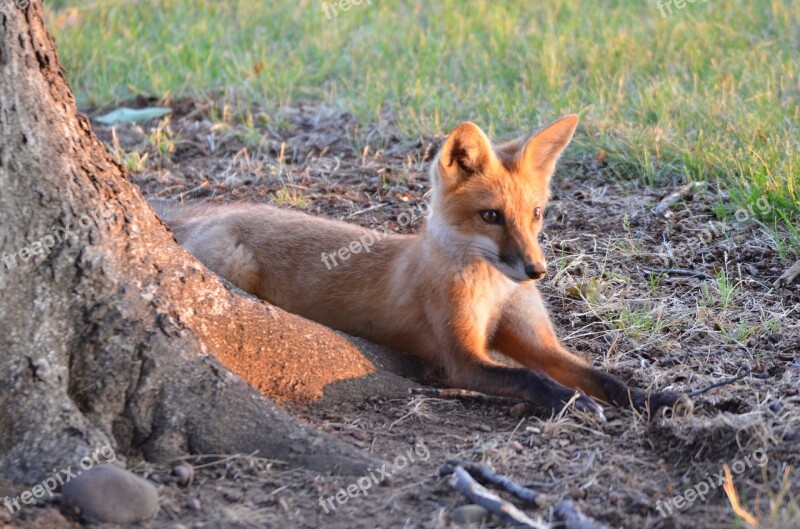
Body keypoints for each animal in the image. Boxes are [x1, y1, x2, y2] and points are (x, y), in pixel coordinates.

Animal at [153, 116, 692, 420]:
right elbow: (531, 379)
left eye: (536, 214)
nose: (537, 271)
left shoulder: (537, 344)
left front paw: (655, 400)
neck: (493, 292)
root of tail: (207, 211)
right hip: (232, 267)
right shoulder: (462, 360)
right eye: (491, 216)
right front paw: (574, 403)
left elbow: (603, 377)